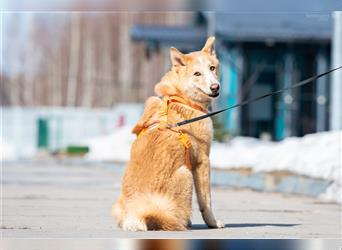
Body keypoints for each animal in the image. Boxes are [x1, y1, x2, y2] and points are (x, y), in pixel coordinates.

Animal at [113, 36, 224, 230]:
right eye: (197, 74)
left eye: (212, 68)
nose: (215, 87)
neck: (181, 98)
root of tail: (135, 214)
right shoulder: (202, 161)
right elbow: (206, 202)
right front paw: (213, 223)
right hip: (186, 174)